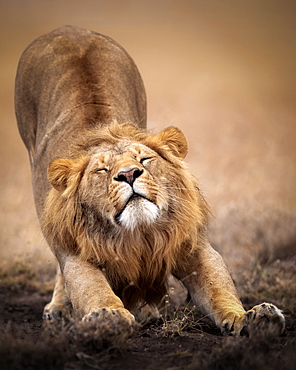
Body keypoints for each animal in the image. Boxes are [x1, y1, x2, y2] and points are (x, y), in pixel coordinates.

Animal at [15, 26, 286, 336]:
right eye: (102, 170)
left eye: (144, 160)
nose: (128, 174)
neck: (139, 234)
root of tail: (72, 30)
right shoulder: (76, 251)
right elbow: (92, 288)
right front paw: (108, 315)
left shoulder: (191, 245)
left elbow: (220, 290)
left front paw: (254, 317)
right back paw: (60, 309)